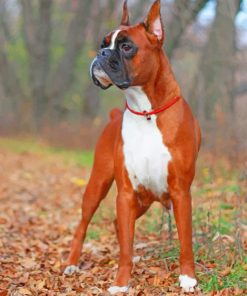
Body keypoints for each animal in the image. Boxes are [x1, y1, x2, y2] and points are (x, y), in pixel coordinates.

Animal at [64, 1, 201, 294]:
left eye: (126, 46)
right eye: (103, 43)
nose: (101, 52)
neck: (146, 111)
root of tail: (113, 116)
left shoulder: (180, 193)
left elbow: (185, 239)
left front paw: (187, 277)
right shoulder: (125, 193)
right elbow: (125, 245)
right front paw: (121, 283)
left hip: (145, 199)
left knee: (118, 224)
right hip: (98, 185)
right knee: (83, 225)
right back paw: (71, 263)